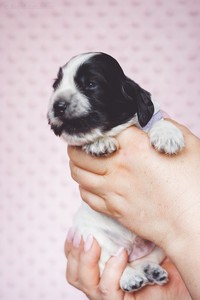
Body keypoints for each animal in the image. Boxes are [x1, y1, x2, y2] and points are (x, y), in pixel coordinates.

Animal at [47, 51, 184, 290]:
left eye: (91, 84)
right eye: (56, 85)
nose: (57, 105)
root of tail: (131, 248)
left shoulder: (153, 116)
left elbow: (160, 120)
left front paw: (168, 135)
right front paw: (99, 143)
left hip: (160, 245)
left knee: (143, 259)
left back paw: (151, 271)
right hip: (92, 238)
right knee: (111, 261)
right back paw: (130, 277)